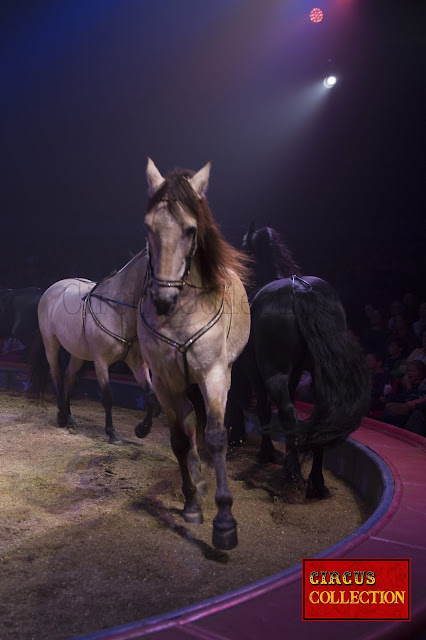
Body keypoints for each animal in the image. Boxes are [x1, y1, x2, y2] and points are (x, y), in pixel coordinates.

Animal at [228, 225, 372, 500]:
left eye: (243, 250)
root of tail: (301, 291)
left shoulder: (256, 373)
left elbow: (263, 410)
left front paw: (264, 451)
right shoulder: (293, 376)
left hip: (275, 375)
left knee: (287, 414)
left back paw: (292, 477)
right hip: (318, 375)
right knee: (320, 416)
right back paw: (316, 482)